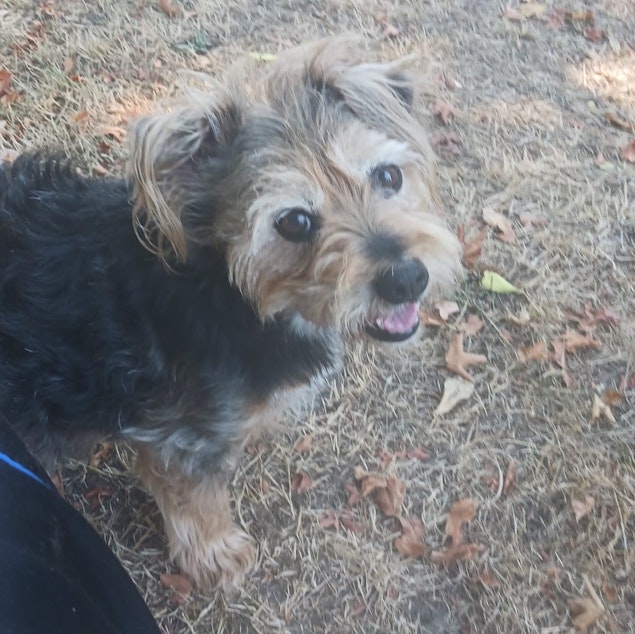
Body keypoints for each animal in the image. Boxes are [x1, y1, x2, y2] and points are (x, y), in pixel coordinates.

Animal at [0, 42, 462, 592]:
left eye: (388, 176)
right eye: (294, 221)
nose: (407, 278)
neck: (232, 292)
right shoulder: (185, 441)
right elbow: (196, 501)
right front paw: (215, 554)